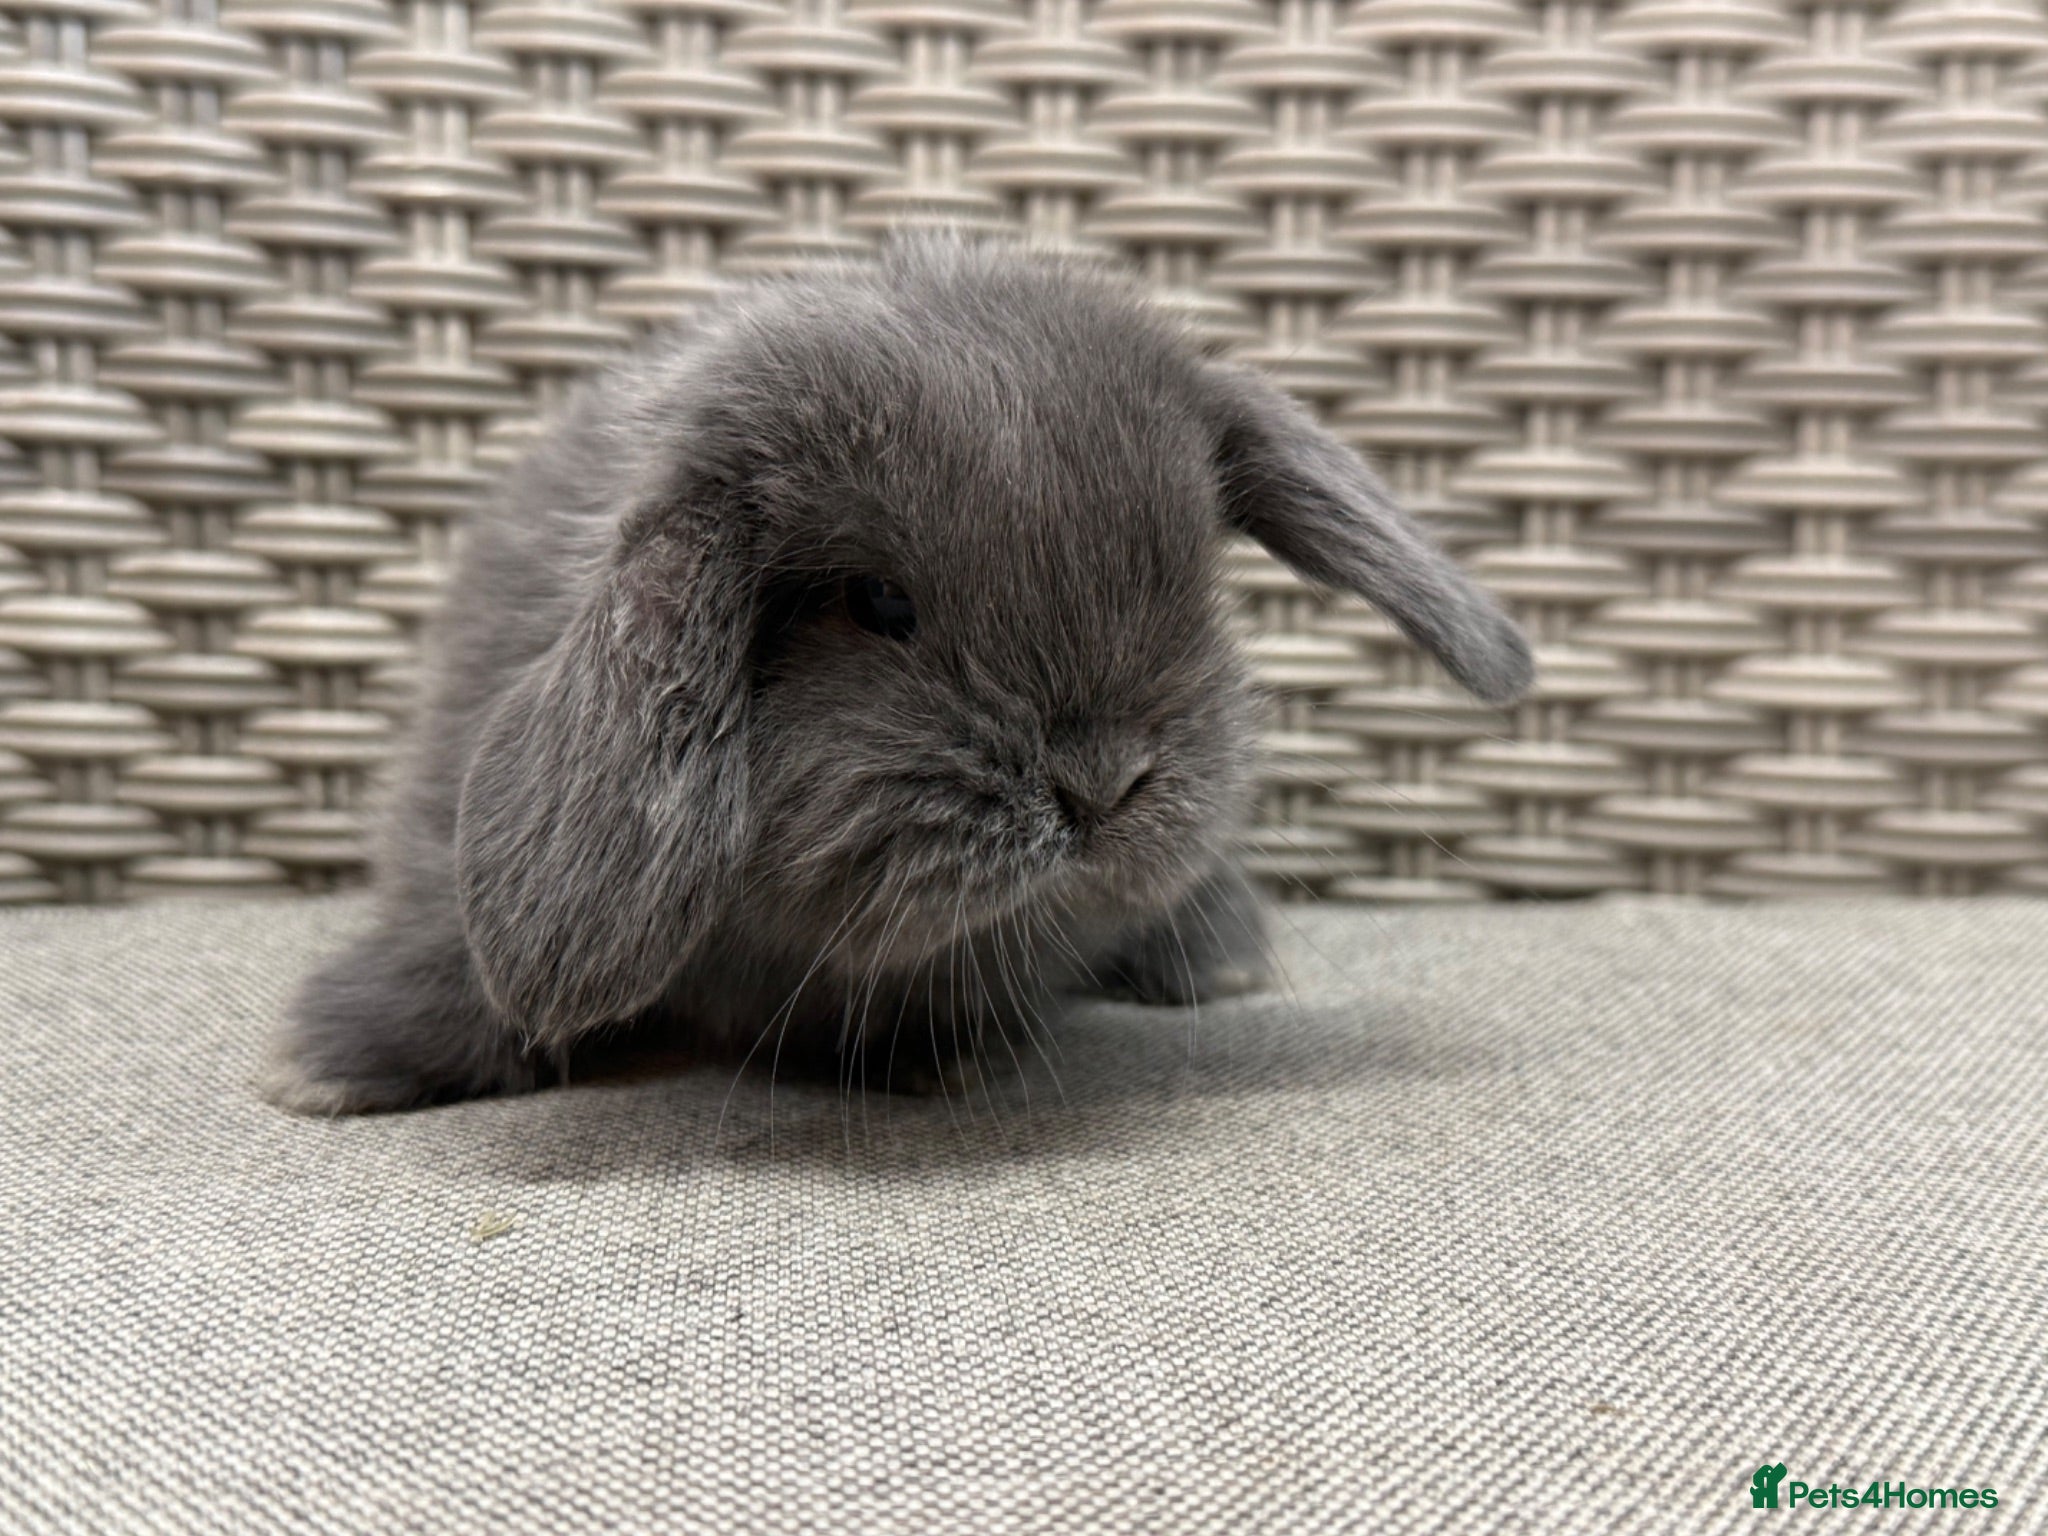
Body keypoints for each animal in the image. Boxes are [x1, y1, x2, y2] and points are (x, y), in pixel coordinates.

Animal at [265, 233, 1532, 1115]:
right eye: (876, 604)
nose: (1102, 785)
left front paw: (934, 1057)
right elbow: (448, 954)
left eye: (1194, 584)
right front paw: (333, 1068)